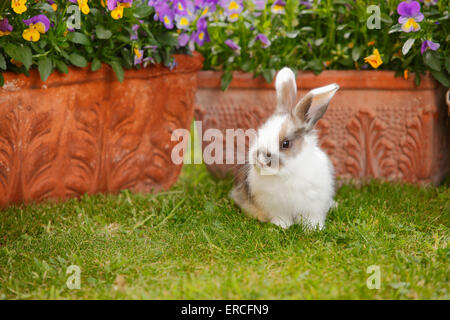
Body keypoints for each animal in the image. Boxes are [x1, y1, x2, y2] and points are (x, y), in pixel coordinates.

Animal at [230, 66, 340, 229]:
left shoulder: (313, 205)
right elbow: (281, 218)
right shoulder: (277, 207)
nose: (261, 159)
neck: (287, 172)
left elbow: (312, 218)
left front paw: (314, 229)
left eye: (285, 144)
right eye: (260, 133)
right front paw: (281, 226)